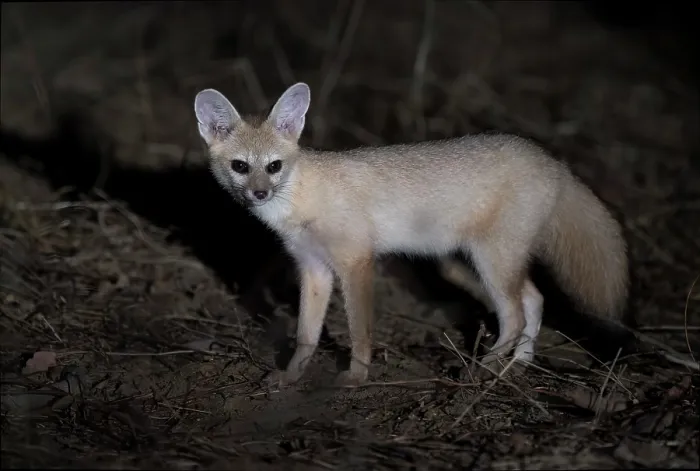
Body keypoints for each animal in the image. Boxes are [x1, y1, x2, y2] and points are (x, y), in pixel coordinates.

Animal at [193, 82, 629, 386]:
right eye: (240, 166)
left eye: (274, 166)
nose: (259, 194)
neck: (304, 197)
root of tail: (553, 162)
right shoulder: (313, 268)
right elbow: (306, 335)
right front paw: (291, 376)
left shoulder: (356, 261)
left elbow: (360, 331)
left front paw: (356, 378)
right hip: (504, 261)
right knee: (535, 301)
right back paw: (514, 368)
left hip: (491, 261)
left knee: (516, 315)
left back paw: (482, 368)